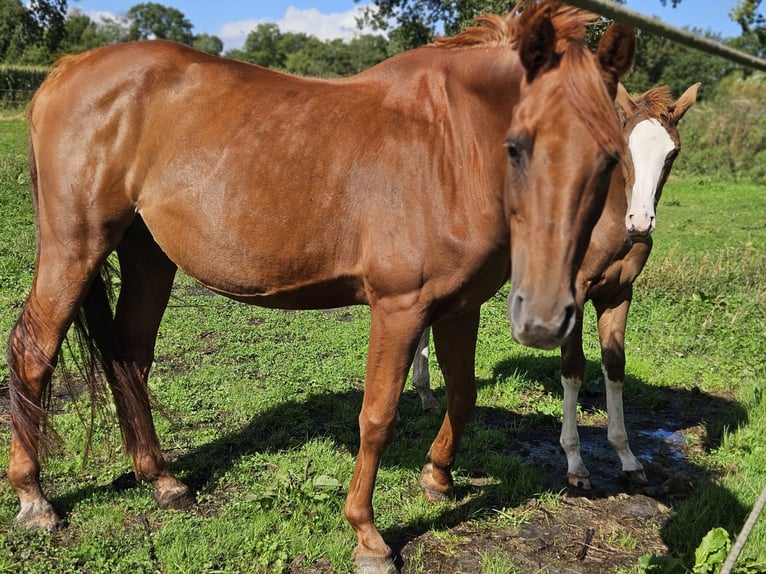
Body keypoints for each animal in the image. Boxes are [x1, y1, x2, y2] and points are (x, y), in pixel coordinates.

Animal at [6, 3, 636, 572]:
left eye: (610, 158)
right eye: (518, 145)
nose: (546, 318)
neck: (452, 145)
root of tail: (67, 69)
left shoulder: (460, 307)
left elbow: (462, 395)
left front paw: (437, 478)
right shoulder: (399, 308)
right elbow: (377, 417)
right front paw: (368, 535)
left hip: (148, 256)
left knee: (130, 359)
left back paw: (160, 478)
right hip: (75, 247)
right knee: (34, 353)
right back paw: (35, 499)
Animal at [414, 83, 704, 492]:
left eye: (673, 152)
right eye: (621, 149)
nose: (640, 222)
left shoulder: (619, 294)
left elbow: (614, 366)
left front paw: (628, 458)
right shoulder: (575, 293)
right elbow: (573, 368)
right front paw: (576, 462)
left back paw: (425, 395)